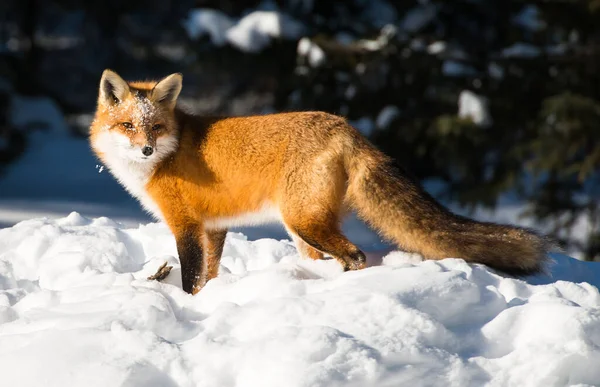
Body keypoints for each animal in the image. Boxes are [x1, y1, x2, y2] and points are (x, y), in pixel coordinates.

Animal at [90, 69, 552, 294]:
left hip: (303, 221)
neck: (168, 154)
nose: (146, 150)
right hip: (303, 229)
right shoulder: (215, 227)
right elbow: (210, 275)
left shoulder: (185, 224)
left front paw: (188, 304)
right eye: (129, 125)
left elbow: (190, 278)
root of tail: (345, 125)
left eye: (155, 127)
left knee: (356, 256)